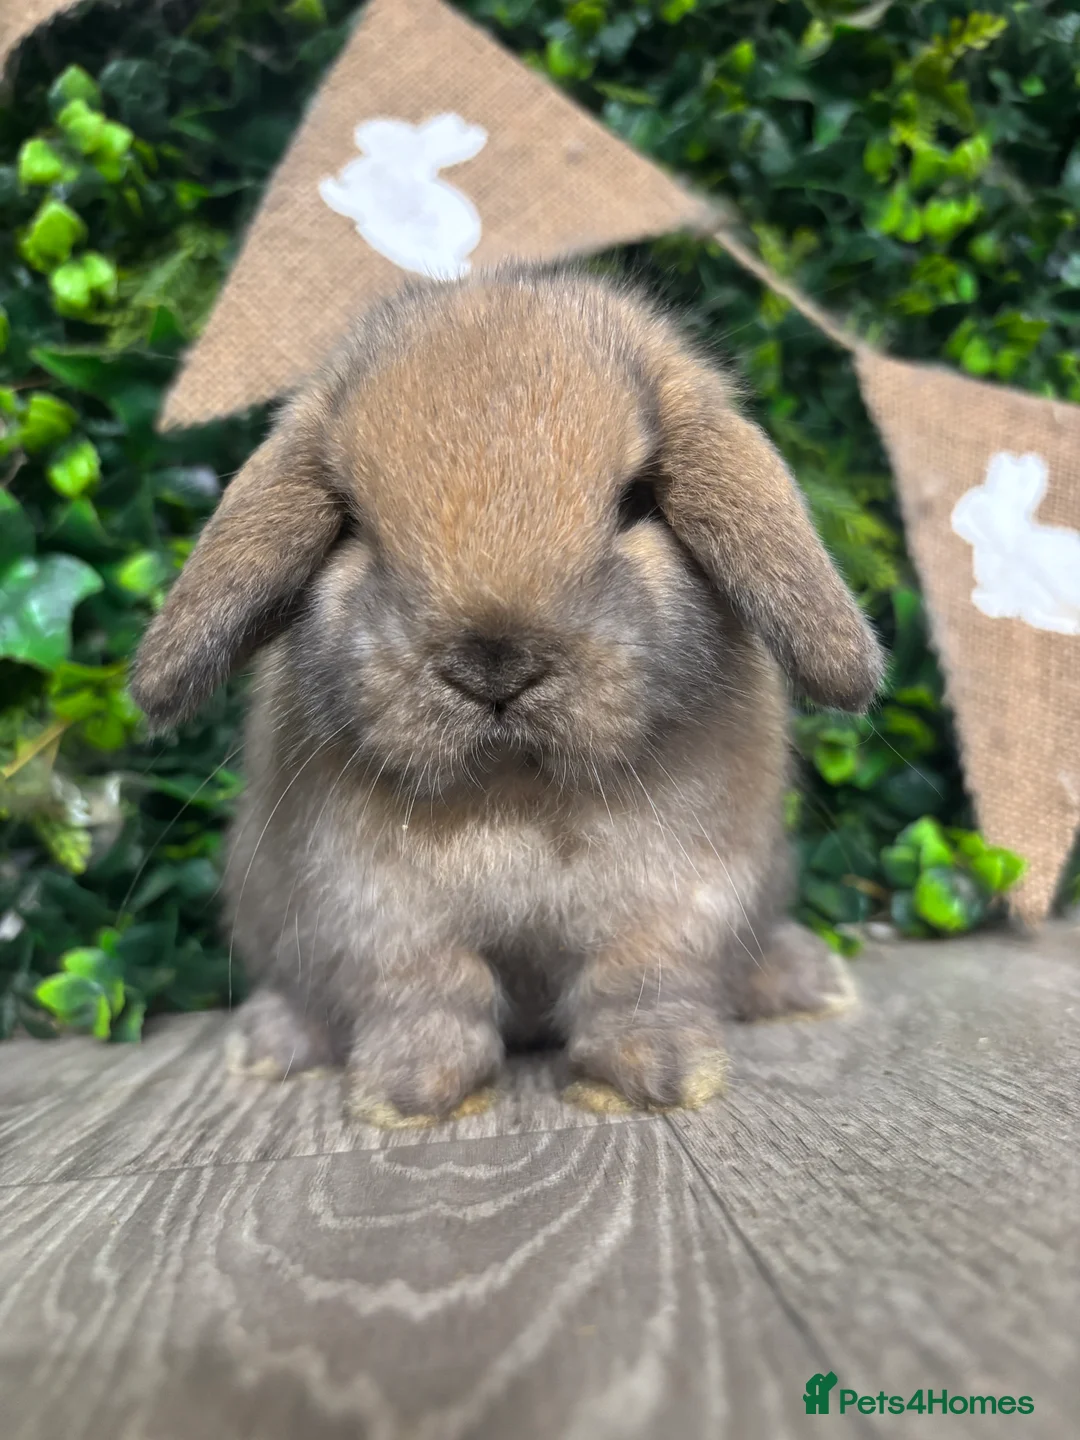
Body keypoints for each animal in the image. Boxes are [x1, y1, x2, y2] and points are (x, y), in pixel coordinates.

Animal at [131, 265, 883, 1126]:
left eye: (637, 503)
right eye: (350, 523)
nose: (494, 665)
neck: (515, 789)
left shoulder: (678, 900)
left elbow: (638, 984)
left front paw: (655, 1077)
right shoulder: (375, 911)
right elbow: (429, 994)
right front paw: (411, 1094)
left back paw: (810, 980)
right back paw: (267, 1044)